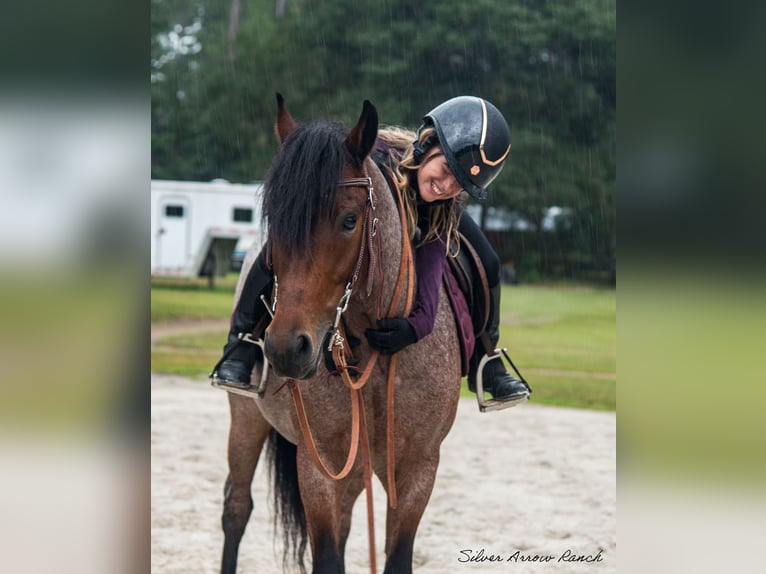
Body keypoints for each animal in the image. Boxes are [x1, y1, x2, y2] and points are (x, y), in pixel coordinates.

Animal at [219, 94, 464, 574]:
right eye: (274, 219)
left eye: (350, 220)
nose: (285, 347)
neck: (376, 351)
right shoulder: (319, 468)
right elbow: (327, 557)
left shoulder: (417, 470)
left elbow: (397, 556)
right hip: (247, 420)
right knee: (236, 510)